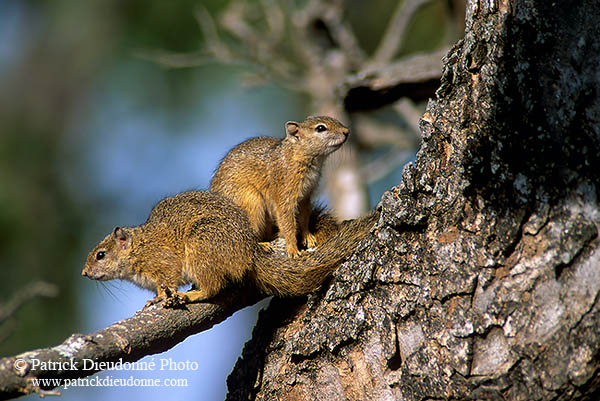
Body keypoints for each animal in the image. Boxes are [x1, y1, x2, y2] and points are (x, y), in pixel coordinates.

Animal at [212, 115, 350, 256]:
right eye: (320, 128)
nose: (346, 131)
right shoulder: (284, 191)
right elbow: (287, 222)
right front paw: (293, 249)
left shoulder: (305, 197)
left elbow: (304, 218)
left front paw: (308, 236)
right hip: (251, 202)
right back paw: (262, 245)